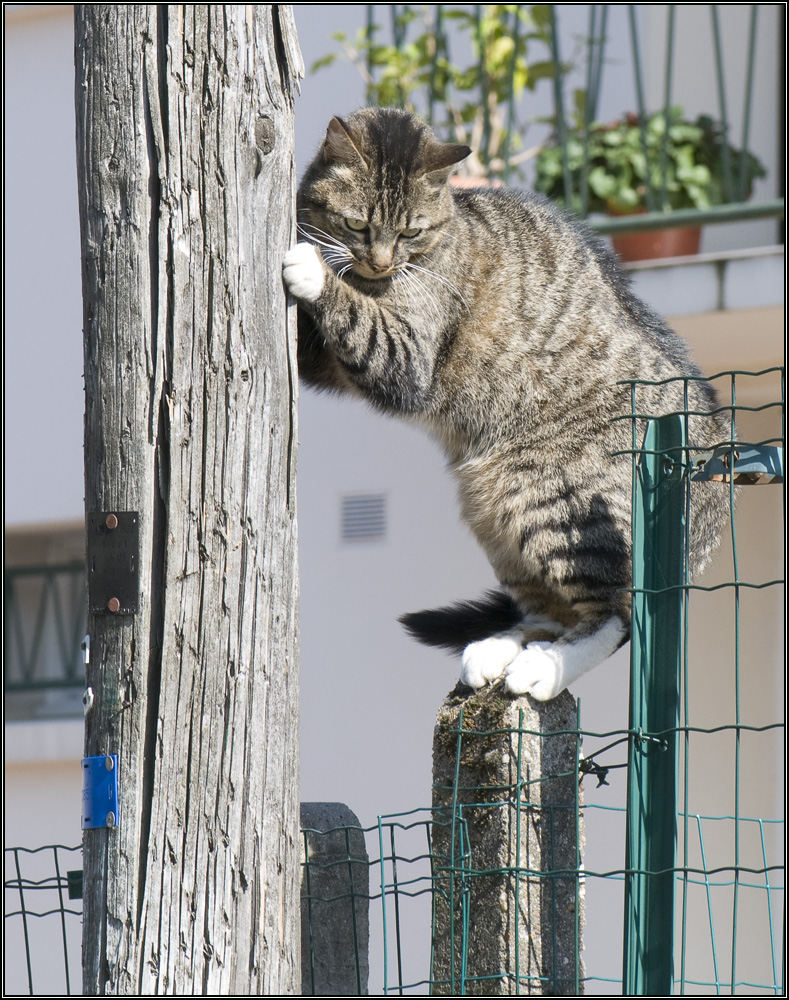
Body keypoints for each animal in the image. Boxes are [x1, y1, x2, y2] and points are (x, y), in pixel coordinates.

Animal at [284, 107, 728, 704]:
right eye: (357, 225)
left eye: (410, 233)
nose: (380, 261)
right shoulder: (327, 364)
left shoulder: (406, 356)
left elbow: (354, 314)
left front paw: (312, 268)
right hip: (494, 513)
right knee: (551, 610)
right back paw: (499, 650)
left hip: (552, 497)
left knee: (616, 614)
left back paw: (543, 669)